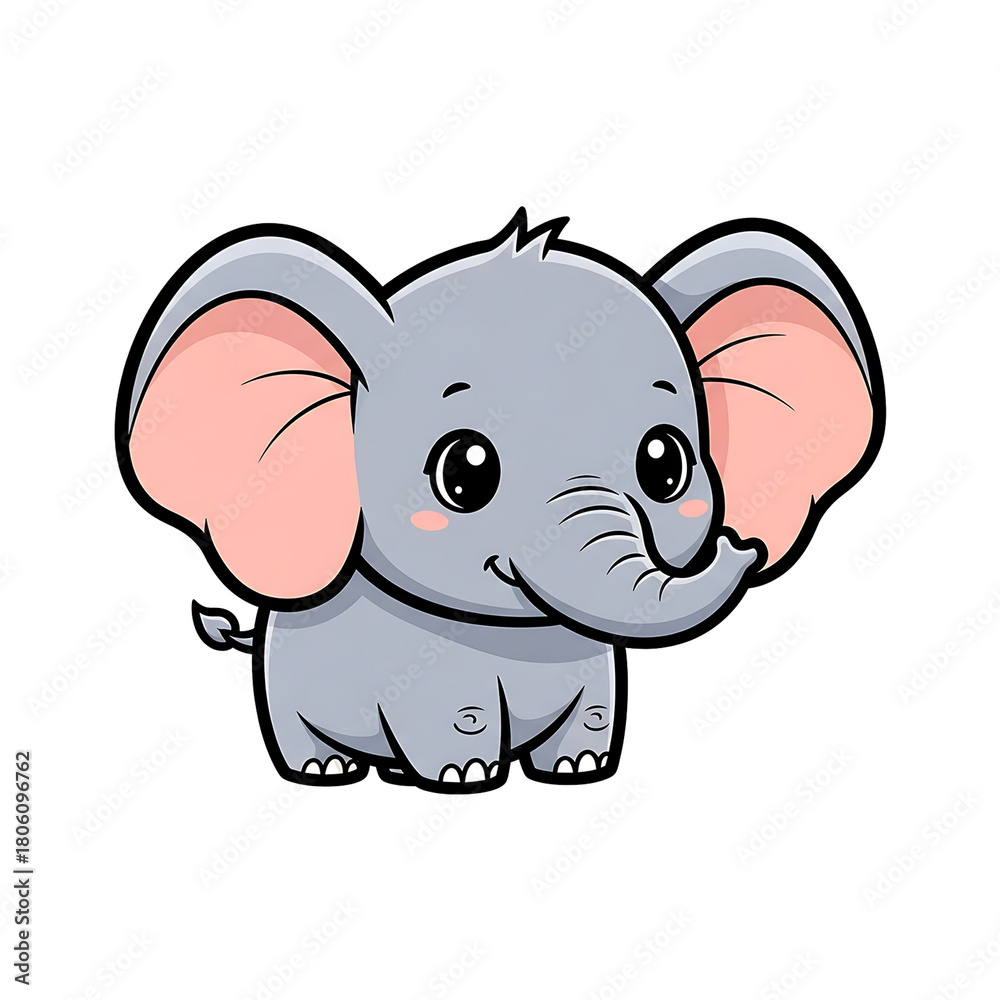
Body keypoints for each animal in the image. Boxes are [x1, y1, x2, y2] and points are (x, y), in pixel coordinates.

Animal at [116, 210, 884, 793]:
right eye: (464, 472)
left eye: (664, 464)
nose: (743, 544)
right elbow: (452, 714)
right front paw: (465, 778)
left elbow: (596, 710)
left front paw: (579, 768)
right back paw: (329, 772)